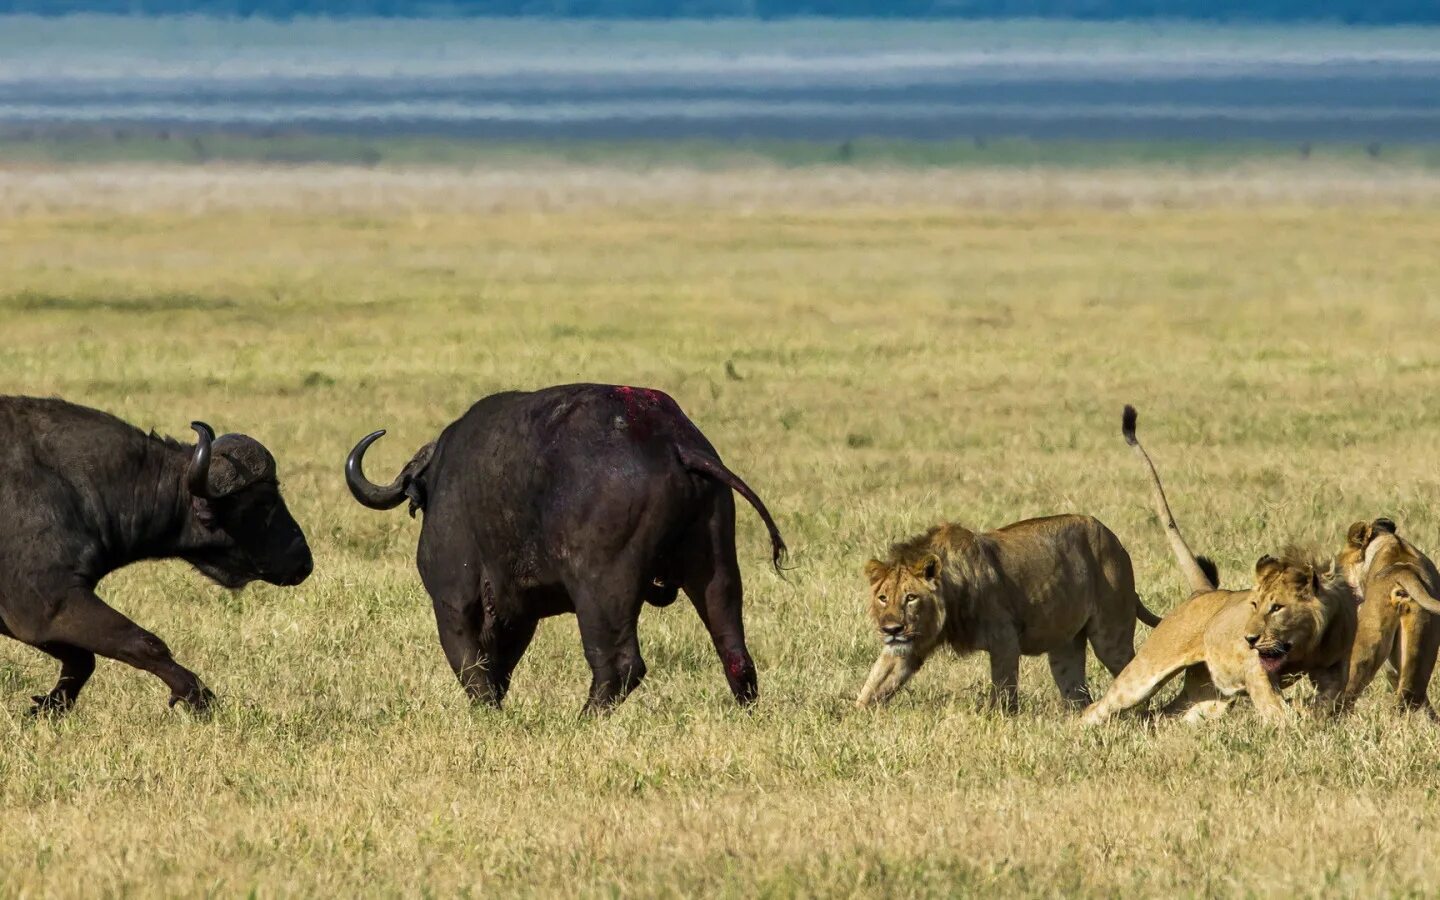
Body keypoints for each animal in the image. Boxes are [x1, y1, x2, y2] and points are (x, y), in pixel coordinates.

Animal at [0, 397, 313, 711]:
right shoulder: (49, 604)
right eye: (263, 502)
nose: (304, 562)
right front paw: (199, 696)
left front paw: (49, 704)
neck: (73, 484)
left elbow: (83, 659)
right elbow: (143, 644)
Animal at [347, 383, 789, 711]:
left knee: (619, 664)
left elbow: (472, 666)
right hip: (716, 566)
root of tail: (674, 444)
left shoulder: (452, 600)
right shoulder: (516, 613)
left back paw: (584, 717)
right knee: (734, 650)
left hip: (602, 591)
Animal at [852, 515, 1157, 711]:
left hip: (1110, 636)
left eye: (911, 598)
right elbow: (875, 683)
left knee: (1132, 670)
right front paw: (854, 718)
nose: (892, 630)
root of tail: (1116, 541)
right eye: (883, 598)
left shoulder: (1005, 640)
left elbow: (1003, 691)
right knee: (1076, 691)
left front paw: (998, 720)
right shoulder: (909, 647)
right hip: (1065, 644)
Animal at [1082, 406, 1359, 722]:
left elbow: (1328, 698)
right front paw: (1291, 719)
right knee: (1100, 706)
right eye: (1254, 605)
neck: (1306, 642)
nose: (1249, 638)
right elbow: (1275, 706)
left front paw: (1315, 716)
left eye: (1277, 607)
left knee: (1166, 715)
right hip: (1145, 674)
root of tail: (1204, 592)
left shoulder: (1334, 667)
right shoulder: (1256, 669)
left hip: (1205, 698)